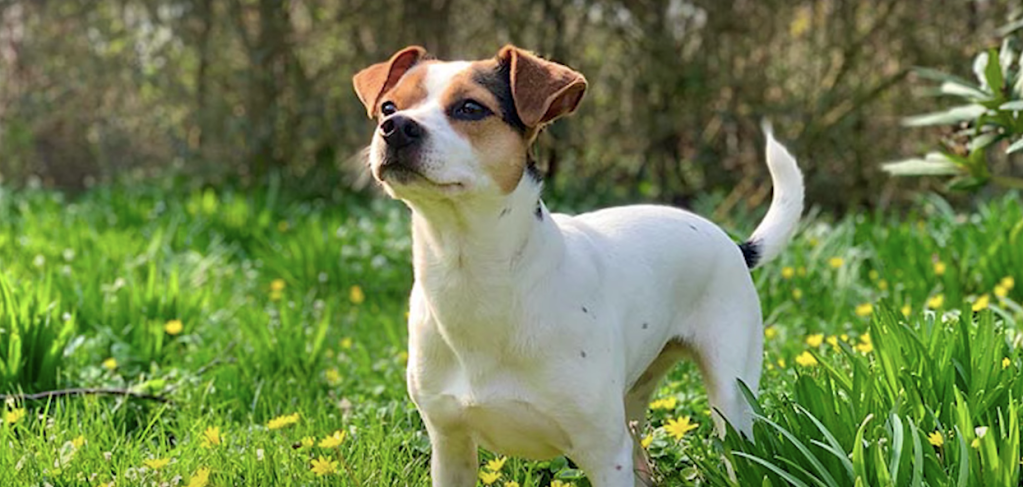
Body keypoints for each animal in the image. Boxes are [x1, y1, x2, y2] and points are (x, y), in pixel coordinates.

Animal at [356, 43, 802, 484]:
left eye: (470, 108)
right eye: (389, 106)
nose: (395, 127)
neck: (473, 273)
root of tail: (733, 245)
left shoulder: (604, 454)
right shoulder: (450, 447)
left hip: (731, 399)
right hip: (633, 401)